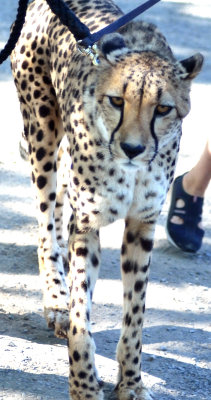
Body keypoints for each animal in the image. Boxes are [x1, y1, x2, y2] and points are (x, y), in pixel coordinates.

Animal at [10, 0, 204, 400]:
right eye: (117, 101)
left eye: (163, 109)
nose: (132, 148)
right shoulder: (87, 225)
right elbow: (81, 315)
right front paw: (84, 384)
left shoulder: (142, 225)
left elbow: (135, 318)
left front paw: (131, 383)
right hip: (42, 133)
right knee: (45, 220)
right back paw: (56, 299)